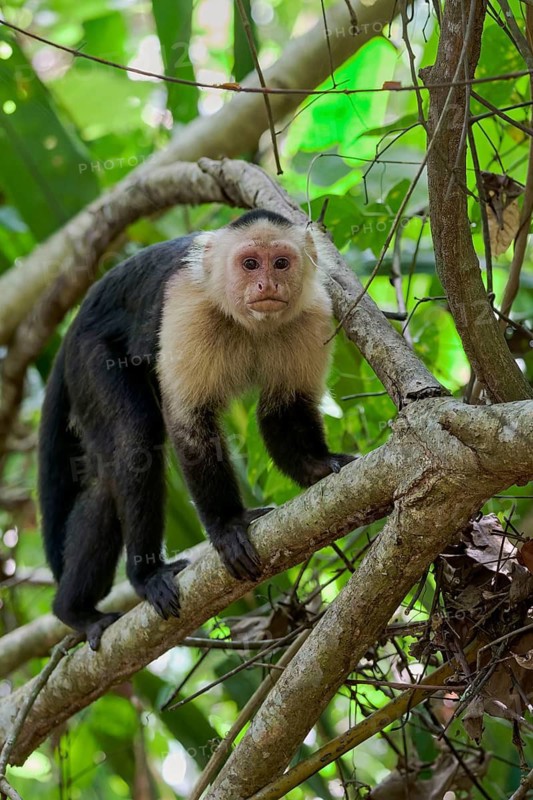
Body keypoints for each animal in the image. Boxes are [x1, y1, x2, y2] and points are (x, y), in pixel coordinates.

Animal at [38, 209, 354, 649]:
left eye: (281, 263)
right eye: (250, 263)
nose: (267, 284)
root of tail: (74, 325)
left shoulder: (312, 314)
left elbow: (285, 409)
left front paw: (319, 466)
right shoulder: (188, 306)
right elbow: (189, 422)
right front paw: (227, 525)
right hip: (89, 357)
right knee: (134, 440)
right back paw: (108, 595)